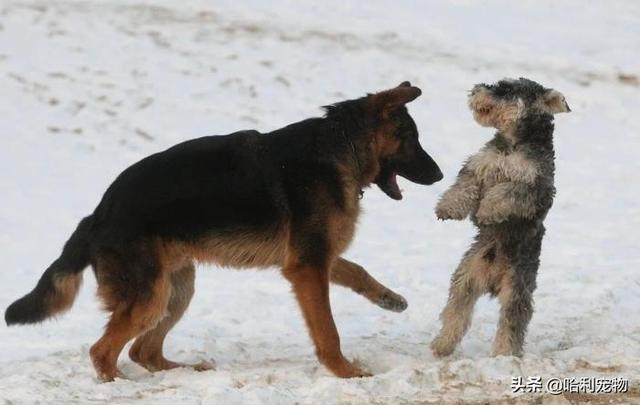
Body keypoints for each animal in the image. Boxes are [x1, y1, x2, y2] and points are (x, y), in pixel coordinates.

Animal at [5, 81, 442, 378]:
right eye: (411, 139)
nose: (439, 175)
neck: (341, 147)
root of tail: (97, 213)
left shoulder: (311, 258)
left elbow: (356, 271)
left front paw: (388, 299)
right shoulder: (307, 267)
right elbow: (328, 331)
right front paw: (345, 372)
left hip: (176, 291)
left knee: (143, 351)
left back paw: (181, 371)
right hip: (151, 296)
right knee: (103, 351)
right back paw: (118, 383)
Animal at [430, 77, 568, 356]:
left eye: (508, 89)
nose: (476, 89)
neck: (512, 144)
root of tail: (492, 280)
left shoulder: (535, 188)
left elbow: (507, 192)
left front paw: (488, 209)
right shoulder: (476, 169)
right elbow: (462, 189)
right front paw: (447, 208)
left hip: (516, 290)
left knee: (511, 325)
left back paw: (505, 355)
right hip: (465, 279)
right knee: (456, 314)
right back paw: (442, 345)